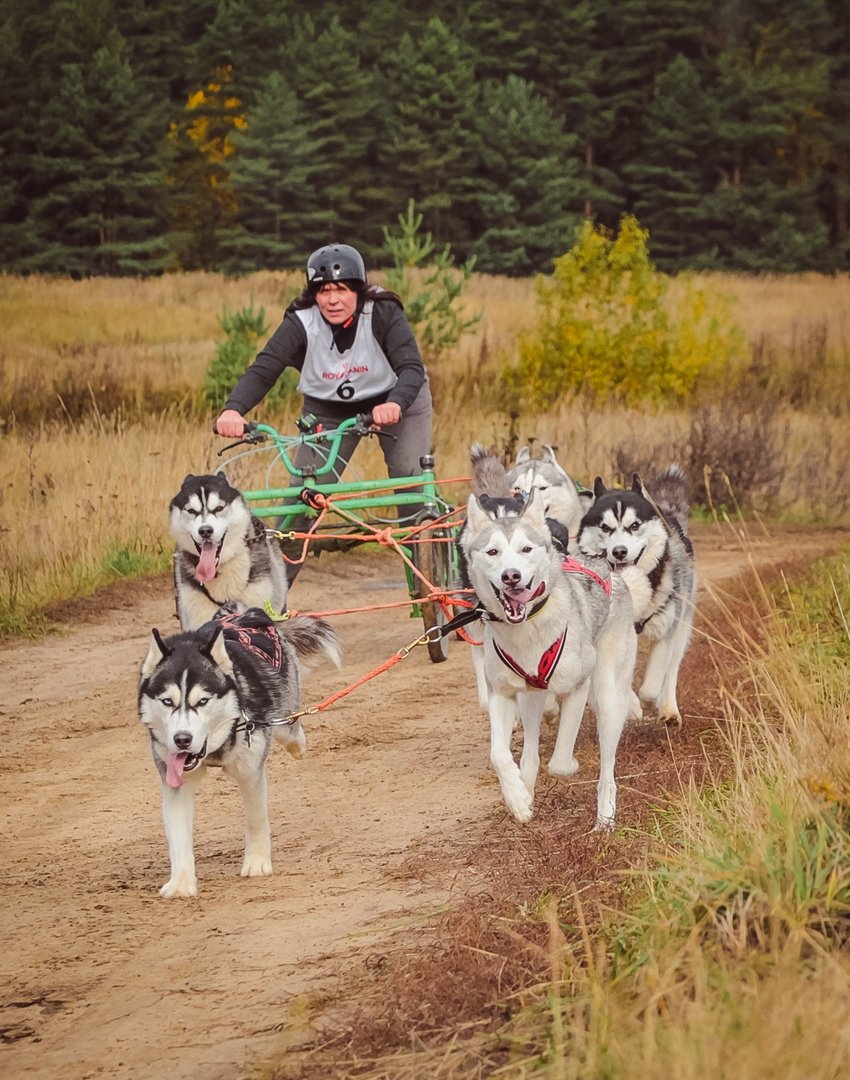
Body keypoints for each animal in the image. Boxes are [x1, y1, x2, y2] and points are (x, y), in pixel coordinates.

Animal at [139, 607, 341, 898]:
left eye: (202, 701)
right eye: (167, 701)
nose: (182, 740)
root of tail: (245, 613)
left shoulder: (250, 772)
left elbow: (256, 819)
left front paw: (257, 862)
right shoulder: (175, 783)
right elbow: (178, 837)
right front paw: (181, 882)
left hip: (281, 716)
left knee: (291, 728)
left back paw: (298, 745)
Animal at [460, 446, 639, 829]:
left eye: (526, 550)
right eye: (493, 552)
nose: (511, 576)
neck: (528, 627)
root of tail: (608, 570)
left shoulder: (577, 686)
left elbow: (559, 762)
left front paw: (568, 766)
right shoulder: (502, 693)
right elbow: (500, 755)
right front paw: (517, 798)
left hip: (608, 695)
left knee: (607, 766)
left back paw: (605, 817)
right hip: (531, 700)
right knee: (529, 749)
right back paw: (525, 785)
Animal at [576, 465, 696, 726]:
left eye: (634, 525)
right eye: (605, 527)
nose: (619, 552)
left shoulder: (666, 630)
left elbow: (650, 688)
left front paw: (651, 700)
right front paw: (630, 706)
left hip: (682, 624)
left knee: (671, 669)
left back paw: (669, 707)